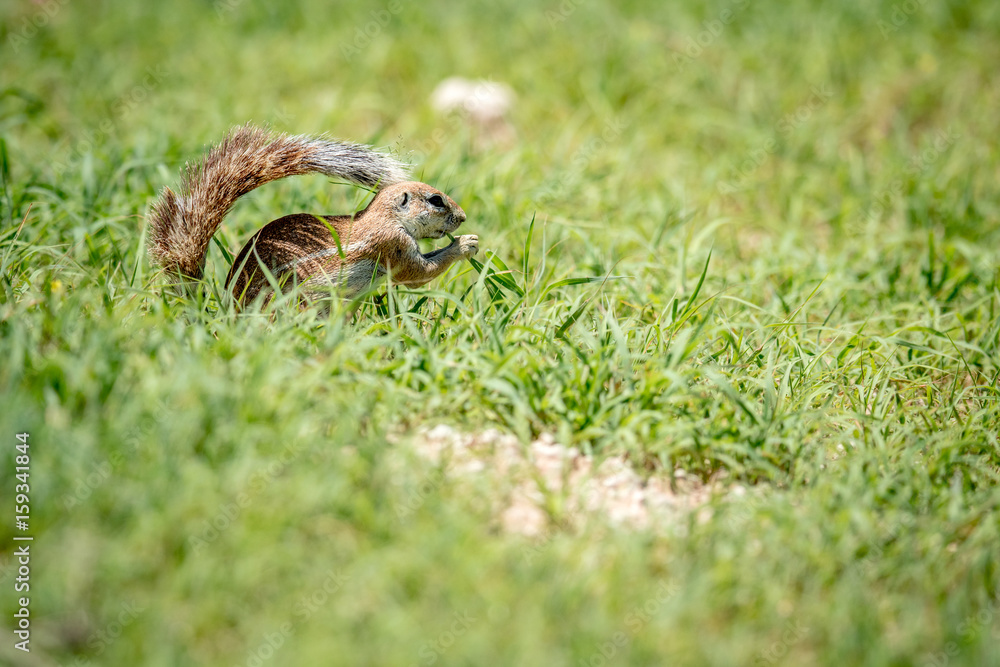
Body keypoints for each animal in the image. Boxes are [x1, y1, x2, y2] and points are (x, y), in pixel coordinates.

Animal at [147, 124, 479, 306]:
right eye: (436, 200)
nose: (463, 217)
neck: (384, 217)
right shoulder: (393, 245)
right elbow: (419, 274)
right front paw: (465, 244)